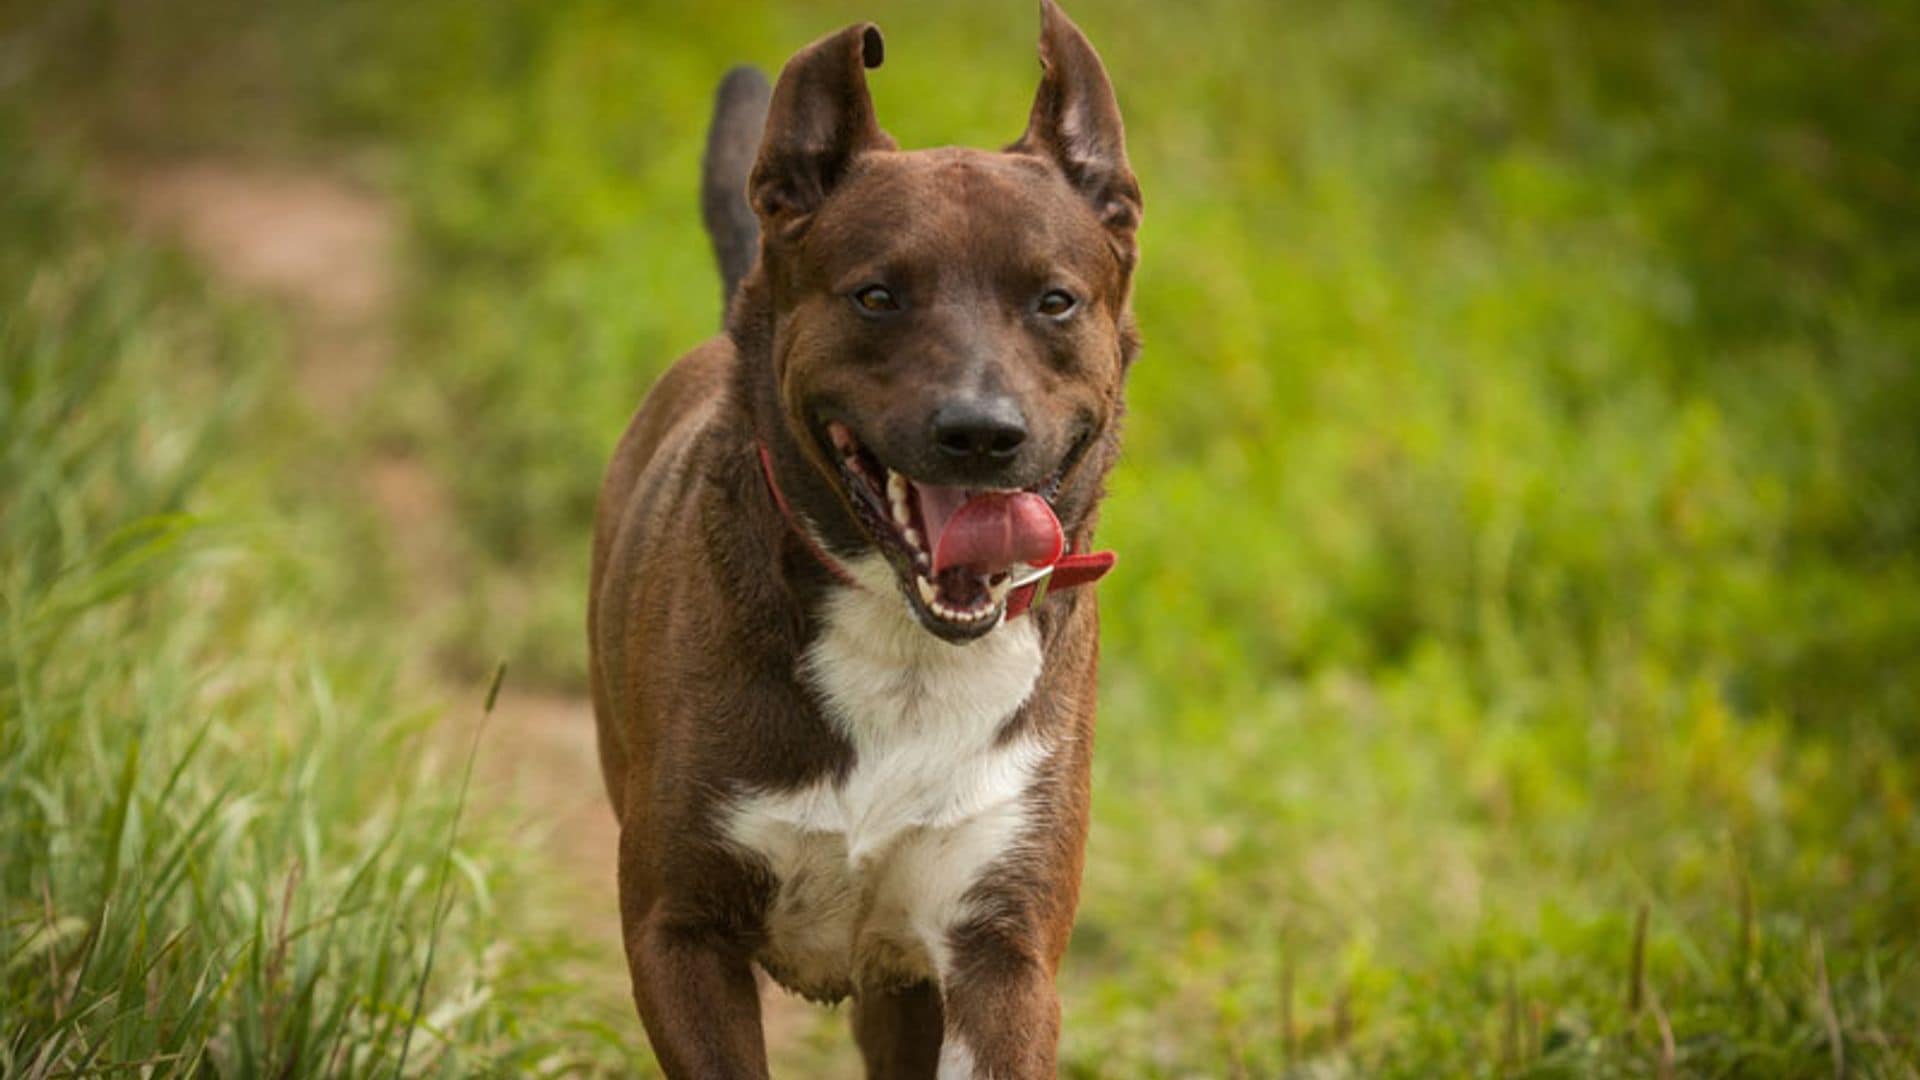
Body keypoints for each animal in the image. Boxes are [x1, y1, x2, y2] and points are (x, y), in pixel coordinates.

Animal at [587, 4, 1136, 1068]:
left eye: (1055, 300)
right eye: (877, 295)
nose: (981, 432)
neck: (906, 644)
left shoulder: (999, 951)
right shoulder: (679, 933)